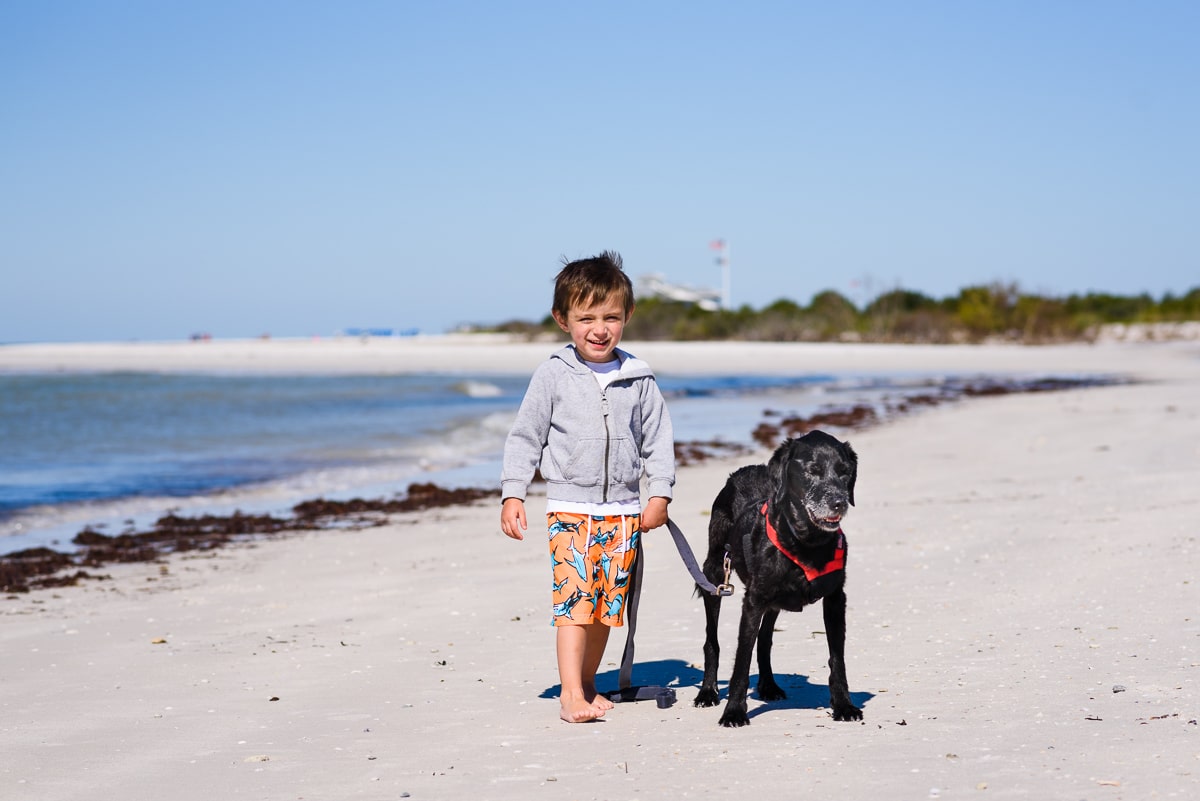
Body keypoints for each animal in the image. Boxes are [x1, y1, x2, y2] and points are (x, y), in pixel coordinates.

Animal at [696, 431, 864, 724]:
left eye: (844, 472)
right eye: (813, 470)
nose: (839, 503)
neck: (806, 542)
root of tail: (743, 470)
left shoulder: (834, 599)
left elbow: (837, 658)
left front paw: (844, 705)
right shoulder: (752, 601)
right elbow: (741, 660)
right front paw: (734, 711)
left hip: (774, 599)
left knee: (765, 640)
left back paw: (769, 685)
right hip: (715, 573)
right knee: (712, 641)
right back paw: (708, 692)